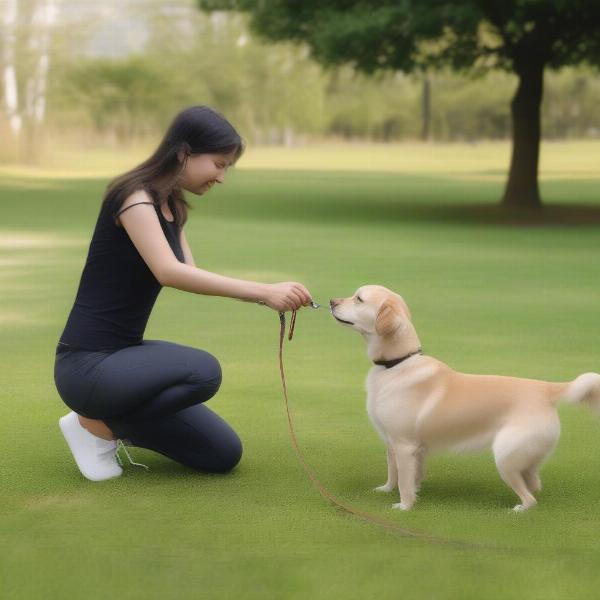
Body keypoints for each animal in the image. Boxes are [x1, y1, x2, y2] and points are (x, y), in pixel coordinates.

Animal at [328, 286, 600, 510]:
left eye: (359, 298)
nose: (331, 301)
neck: (397, 363)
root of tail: (546, 389)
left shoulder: (404, 446)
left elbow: (404, 480)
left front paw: (404, 506)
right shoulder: (398, 445)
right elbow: (396, 472)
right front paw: (388, 490)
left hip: (505, 456)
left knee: (530, 497)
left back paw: (519, 509)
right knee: (535, 482)